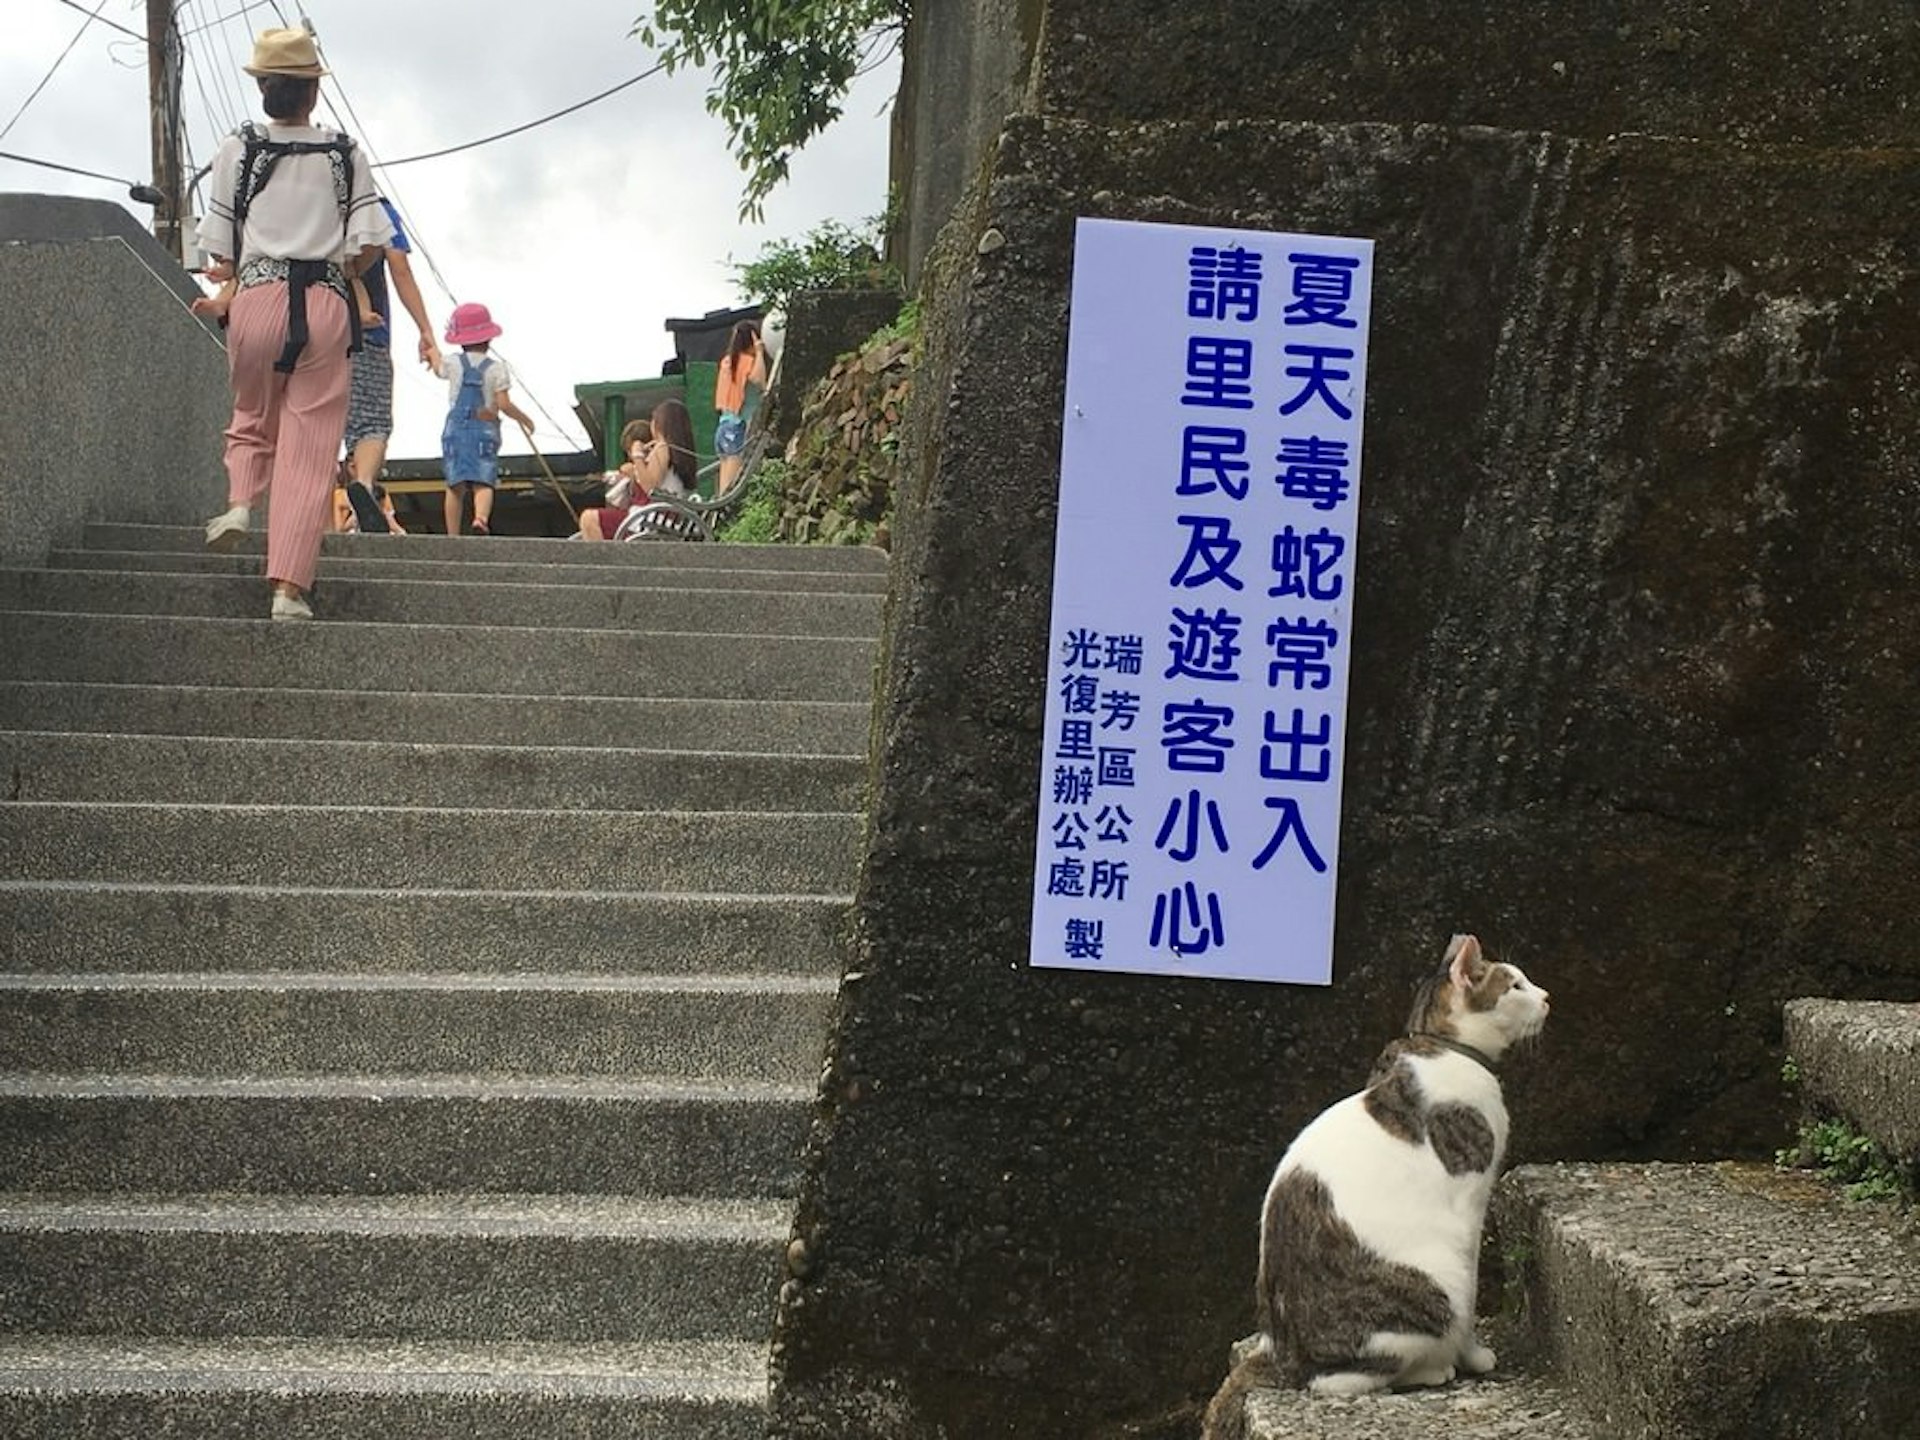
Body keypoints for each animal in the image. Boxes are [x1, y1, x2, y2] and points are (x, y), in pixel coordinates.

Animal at [1205, 929, 1551, 1436]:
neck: (1439, 1048)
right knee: (1338, 1381)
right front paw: (1474, 1355)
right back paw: (1431, 1369)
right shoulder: (1471, 1201)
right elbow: (1472, 1300)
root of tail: (1281, 1351)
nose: (1547, 997)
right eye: (1514, 985)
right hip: (1435, 1283)